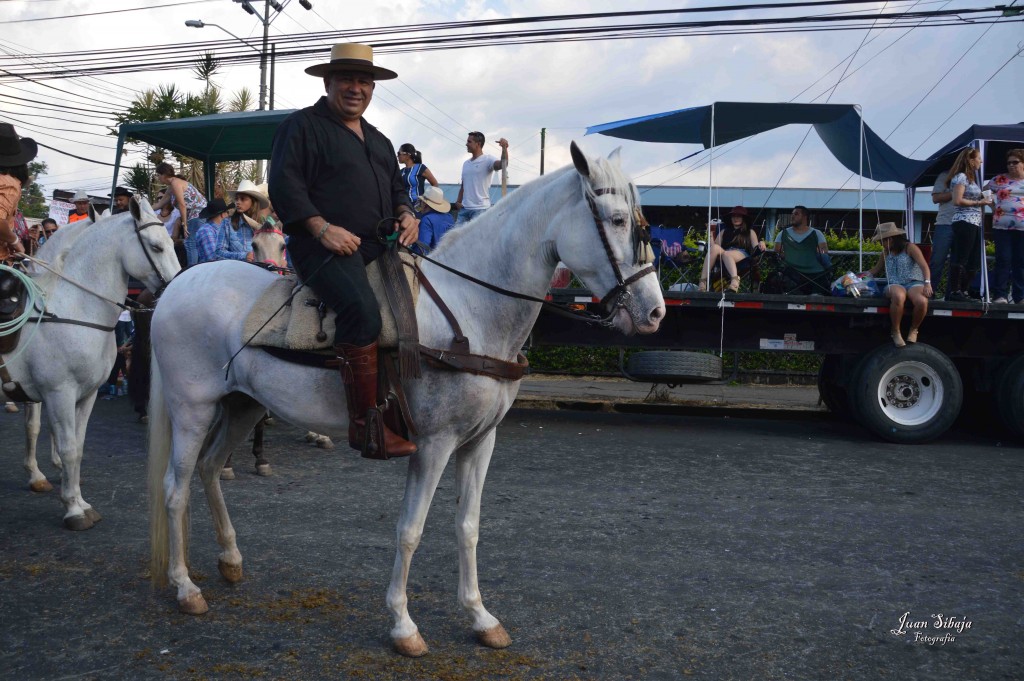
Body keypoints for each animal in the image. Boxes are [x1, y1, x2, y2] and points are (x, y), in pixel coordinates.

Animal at [4, 199, 180, 528]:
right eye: (156, 246)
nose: (178, 287)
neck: (74, 308)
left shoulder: (85, 395)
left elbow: (74, 443)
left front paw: (74, 495)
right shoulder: (57, 392)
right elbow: (63, 443)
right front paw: (73, 508)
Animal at [148, 142, 667, 655]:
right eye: (618, 220)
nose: (655, 313)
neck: (470, 312)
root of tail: (177, 285)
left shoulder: (480, 443)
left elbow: (468, 526)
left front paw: (480, 617)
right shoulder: (433, 445)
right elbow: (410, 530)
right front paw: (403, 624)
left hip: (243, 404)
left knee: (210, 469)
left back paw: (230, 560)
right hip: (193, 409)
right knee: (175, 489)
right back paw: (185, 587)